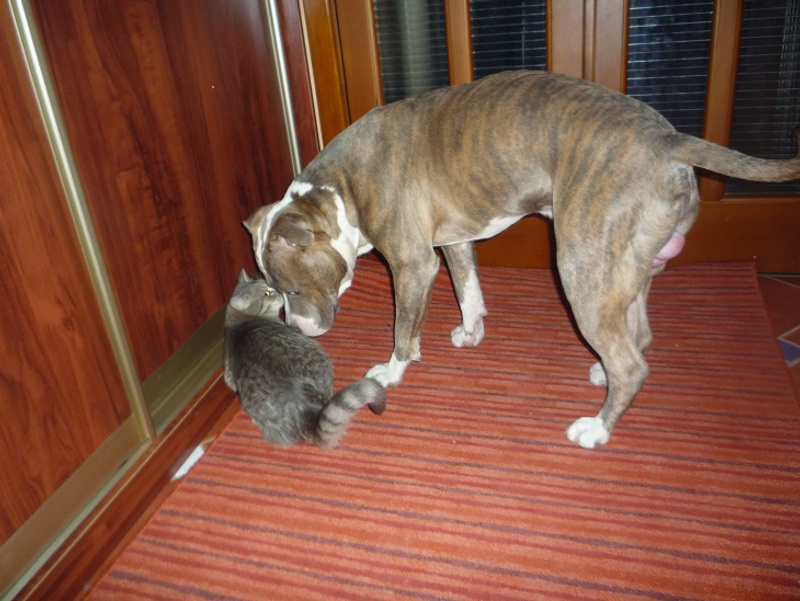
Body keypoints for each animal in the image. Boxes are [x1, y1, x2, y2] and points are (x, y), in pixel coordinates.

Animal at [245, 71, 800, 449]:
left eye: (292, 290)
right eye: (274, 291)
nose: (297, 328)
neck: (341, 190)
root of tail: (667, 141)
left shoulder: (412, 265)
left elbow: (404, 328)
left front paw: (392, 371)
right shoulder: (455, 243)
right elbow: (469, 290)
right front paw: (471, 332)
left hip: (580, 268)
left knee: (631, 362)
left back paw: (597, 428)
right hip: (625, 268)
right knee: (637, 337)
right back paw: (601, 374)